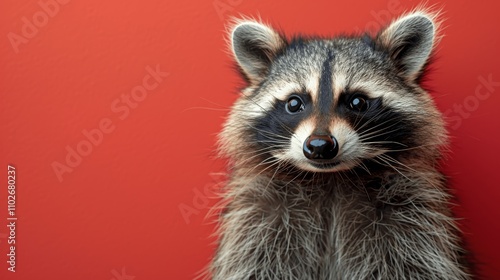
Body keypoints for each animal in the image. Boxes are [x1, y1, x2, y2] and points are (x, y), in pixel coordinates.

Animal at [209, 8, 474, 280]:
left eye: (357, 102)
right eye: (294, 103)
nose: (319, 146)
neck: (331, 178)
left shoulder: (412, 213)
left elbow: (412, 264)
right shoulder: (258, 218)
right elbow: (257, 263)